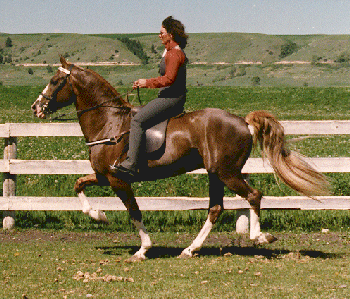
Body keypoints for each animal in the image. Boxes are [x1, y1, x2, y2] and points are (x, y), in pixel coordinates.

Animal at [31, 56, 330, 262]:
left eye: (55, 81)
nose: (36, 108)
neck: (110, 123)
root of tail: (243, 122)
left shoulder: (119, 180)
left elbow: (134, 211)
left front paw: (143, 249)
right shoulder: (105, 176)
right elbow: (78, 184)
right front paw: (99, 215)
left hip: (227, 173)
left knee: (253, 195)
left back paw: (260, 236)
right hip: (215, 174)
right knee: (216, 208)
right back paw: (190, 249)